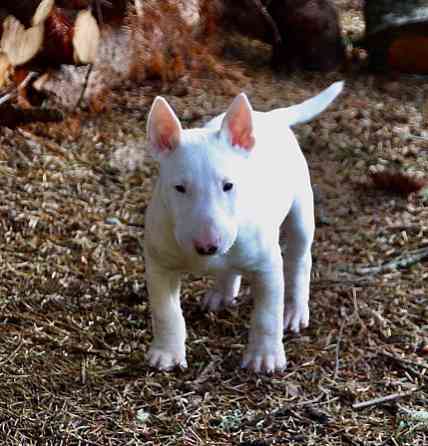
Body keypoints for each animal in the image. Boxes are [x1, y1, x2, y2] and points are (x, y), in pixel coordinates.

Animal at [144, 80, 344, 372]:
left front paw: (264, 358)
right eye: (179, 188)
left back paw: (295, 311)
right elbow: (165, 311)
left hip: (301, 213)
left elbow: (267, 315)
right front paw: (166, 354)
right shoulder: (160, 265)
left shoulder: (267, 267)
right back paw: (221, 293)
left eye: (228, 185)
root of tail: (269, 116)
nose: (208, 246)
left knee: (299, 260)